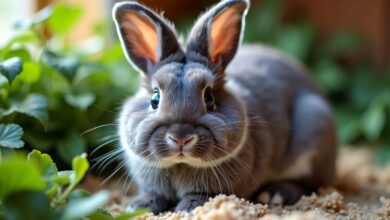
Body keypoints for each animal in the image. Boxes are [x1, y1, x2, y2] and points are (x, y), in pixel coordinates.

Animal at [112, 0, 336, 214]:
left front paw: (189, 207)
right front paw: (138, 206)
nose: (180, 138)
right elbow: (153, 194)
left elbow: (200, 195)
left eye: (209, 98)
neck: (180, 164)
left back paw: (275, 194)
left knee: (309, 183)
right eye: (155, 99)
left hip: (313, 124)